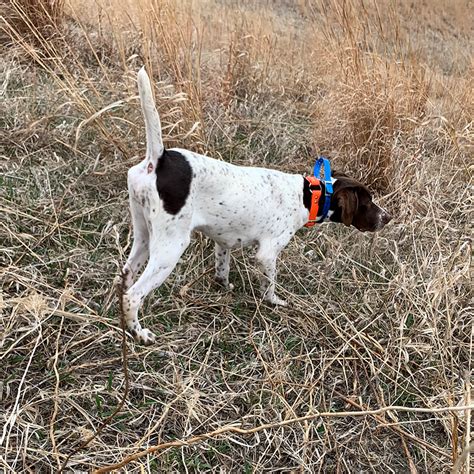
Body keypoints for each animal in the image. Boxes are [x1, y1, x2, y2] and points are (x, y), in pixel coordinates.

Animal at [122, 67, 392, 344]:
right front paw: (275, 302)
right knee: (133, 295)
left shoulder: (223, 242)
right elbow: (269, 284)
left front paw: (224, 287)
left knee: (126, 276)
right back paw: (140, 333)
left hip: (143, 236)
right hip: (171, 247)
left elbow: (222, 270)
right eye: (368, 202)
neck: (307, 195)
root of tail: (159, 159)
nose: (387, 217)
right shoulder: (268, 253)